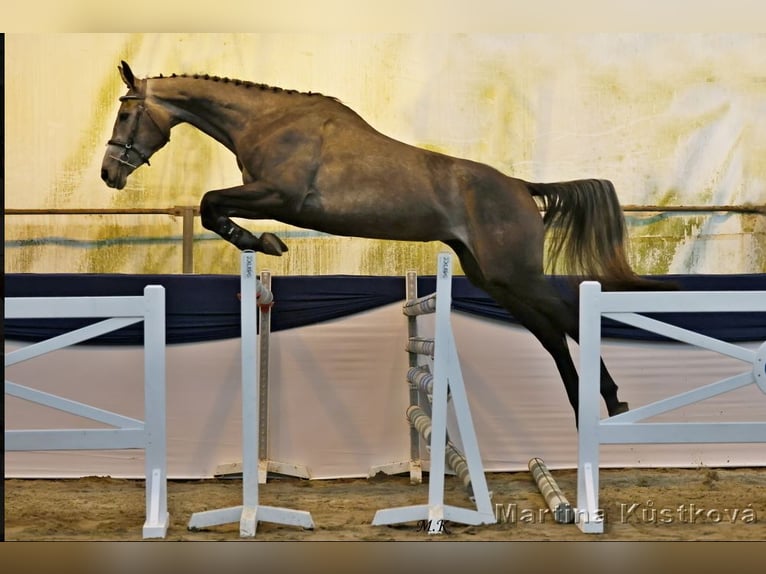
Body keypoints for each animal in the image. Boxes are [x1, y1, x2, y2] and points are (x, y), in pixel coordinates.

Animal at [101, 60, 672, 425]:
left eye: (126, 114)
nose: (110, 173)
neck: (269, 123)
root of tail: (521, 187)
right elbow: (212, 204)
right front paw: (261, 242)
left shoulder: (280, 197)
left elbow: (211, 203)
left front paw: (263, 241)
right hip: (495, 279)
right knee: (552, 333)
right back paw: (584, 407)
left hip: (517, 275)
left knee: (569, 320)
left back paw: (611, 401)